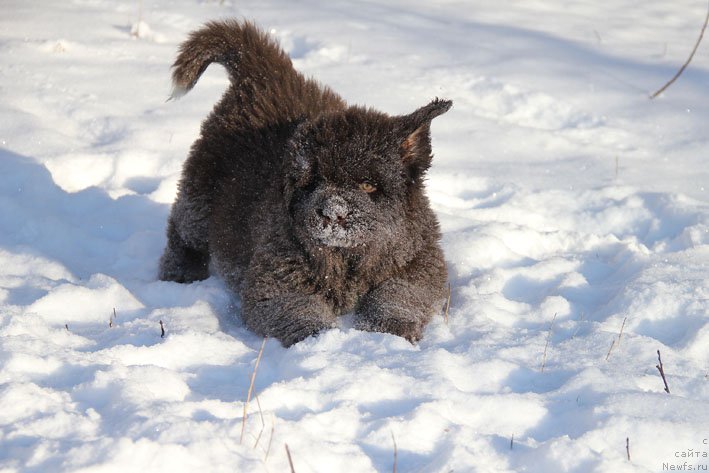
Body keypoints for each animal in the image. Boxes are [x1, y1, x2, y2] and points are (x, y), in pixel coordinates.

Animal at [158, 21, 450, 346]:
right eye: (313, 182)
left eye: (368, 185)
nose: (333, 213)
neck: (346, 260)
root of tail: (265, 75)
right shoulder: (276, 281)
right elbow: (300, 313)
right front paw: (321, 342)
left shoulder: (420, 265)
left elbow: (399, 294)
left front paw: (388, 330)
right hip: (200, 199)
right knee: (182, 234)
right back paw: (180, 275)